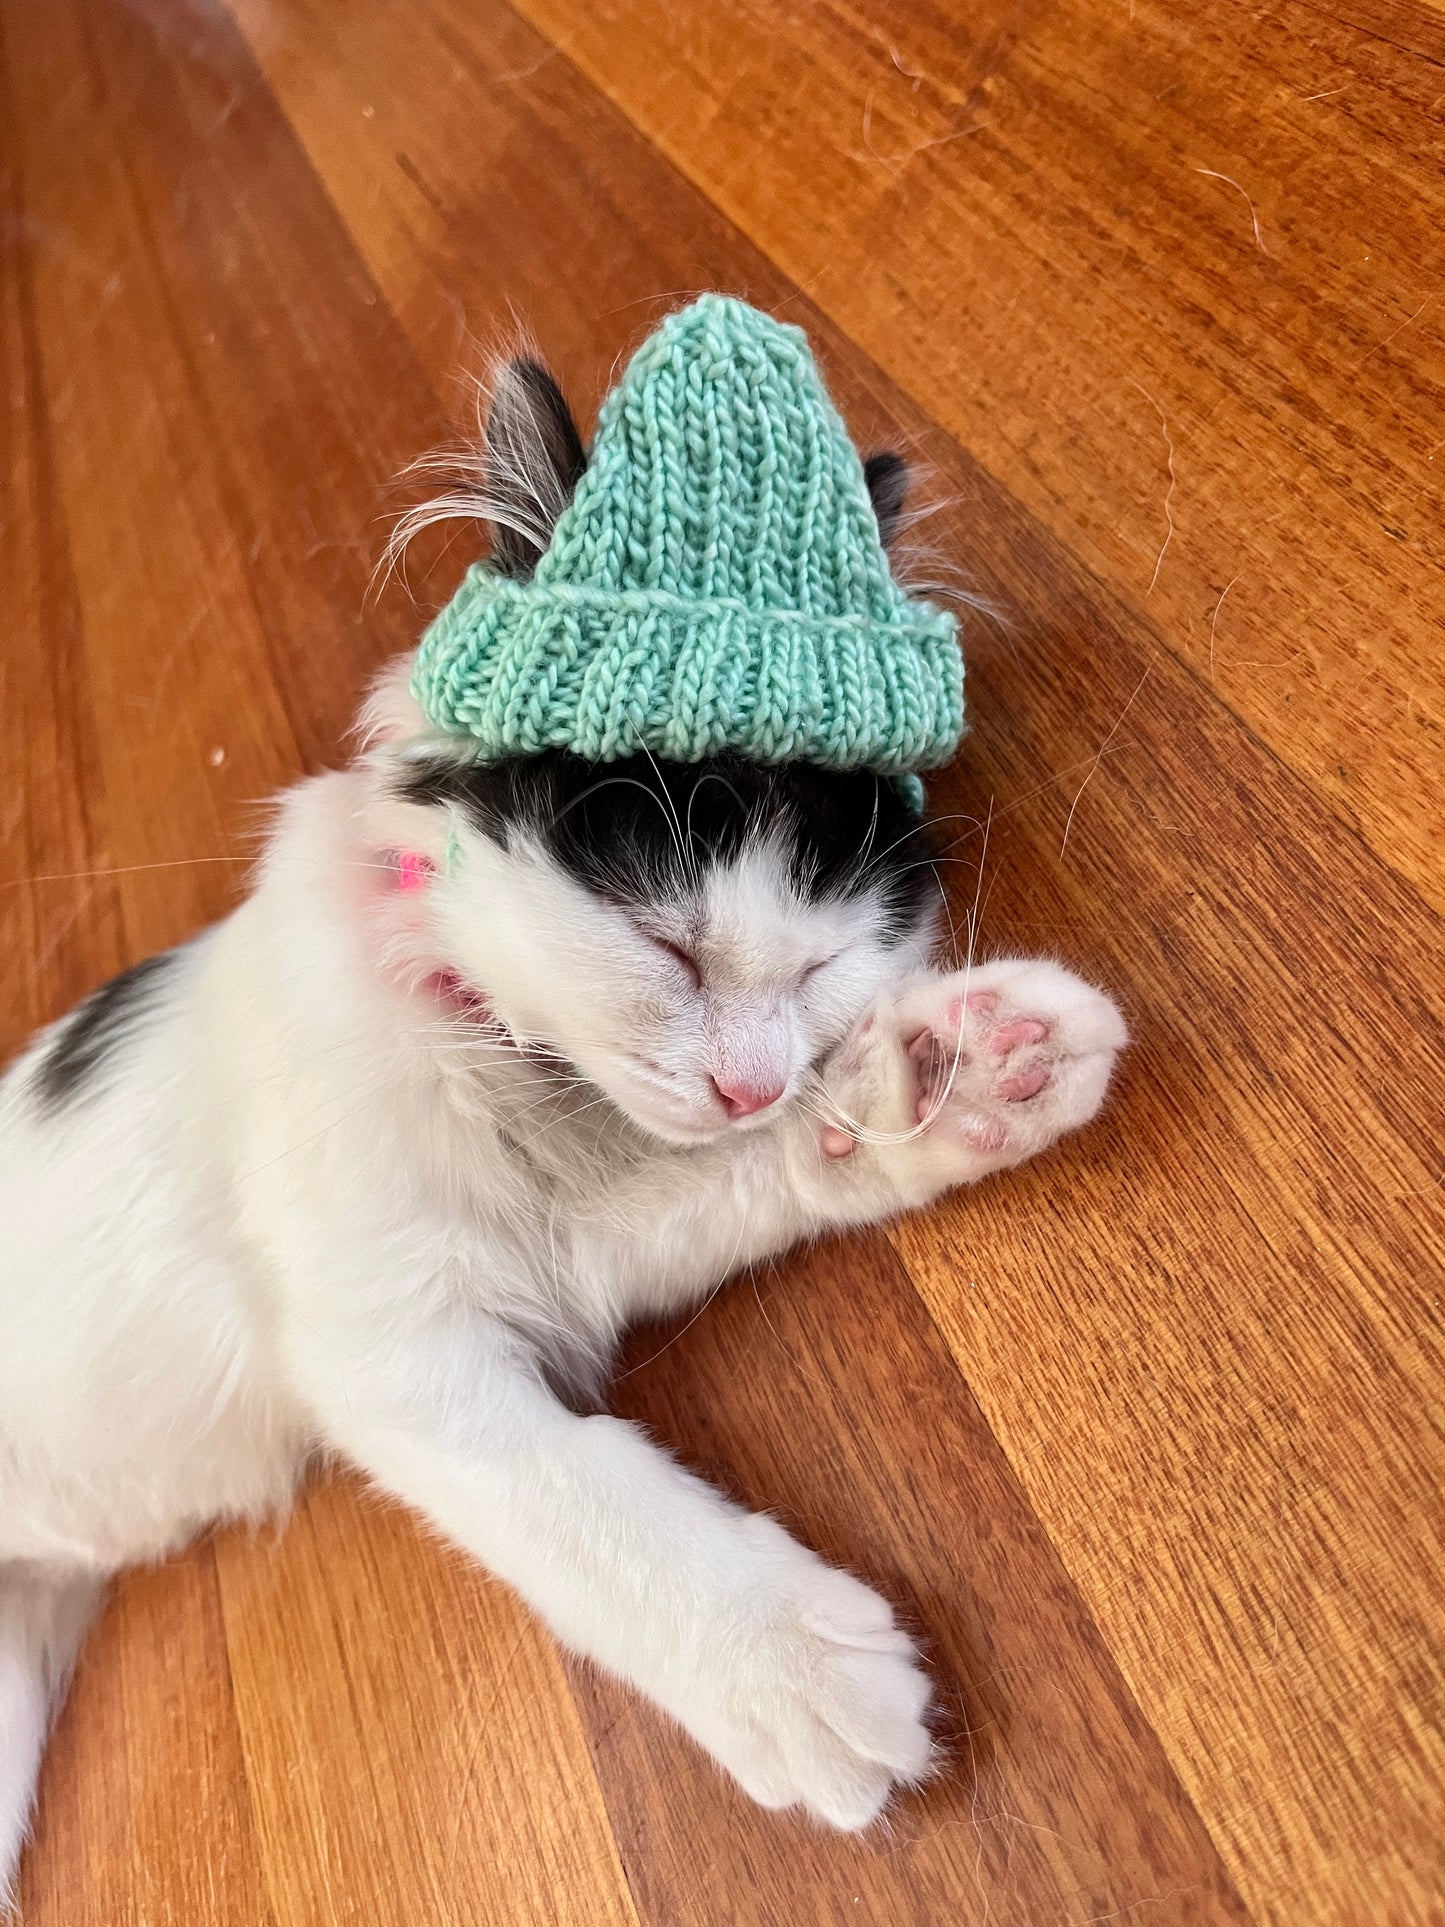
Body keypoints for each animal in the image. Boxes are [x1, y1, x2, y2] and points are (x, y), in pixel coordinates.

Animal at [0, 350, 1132, 1896]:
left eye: (825, 966)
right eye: (667, 946)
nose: (753, 1083)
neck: (498, 1054)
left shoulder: (568, 1252)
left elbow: (745, 1179)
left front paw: (941, 1083)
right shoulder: (391, 1346)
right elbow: (573, 1494)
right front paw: (784, 1666)